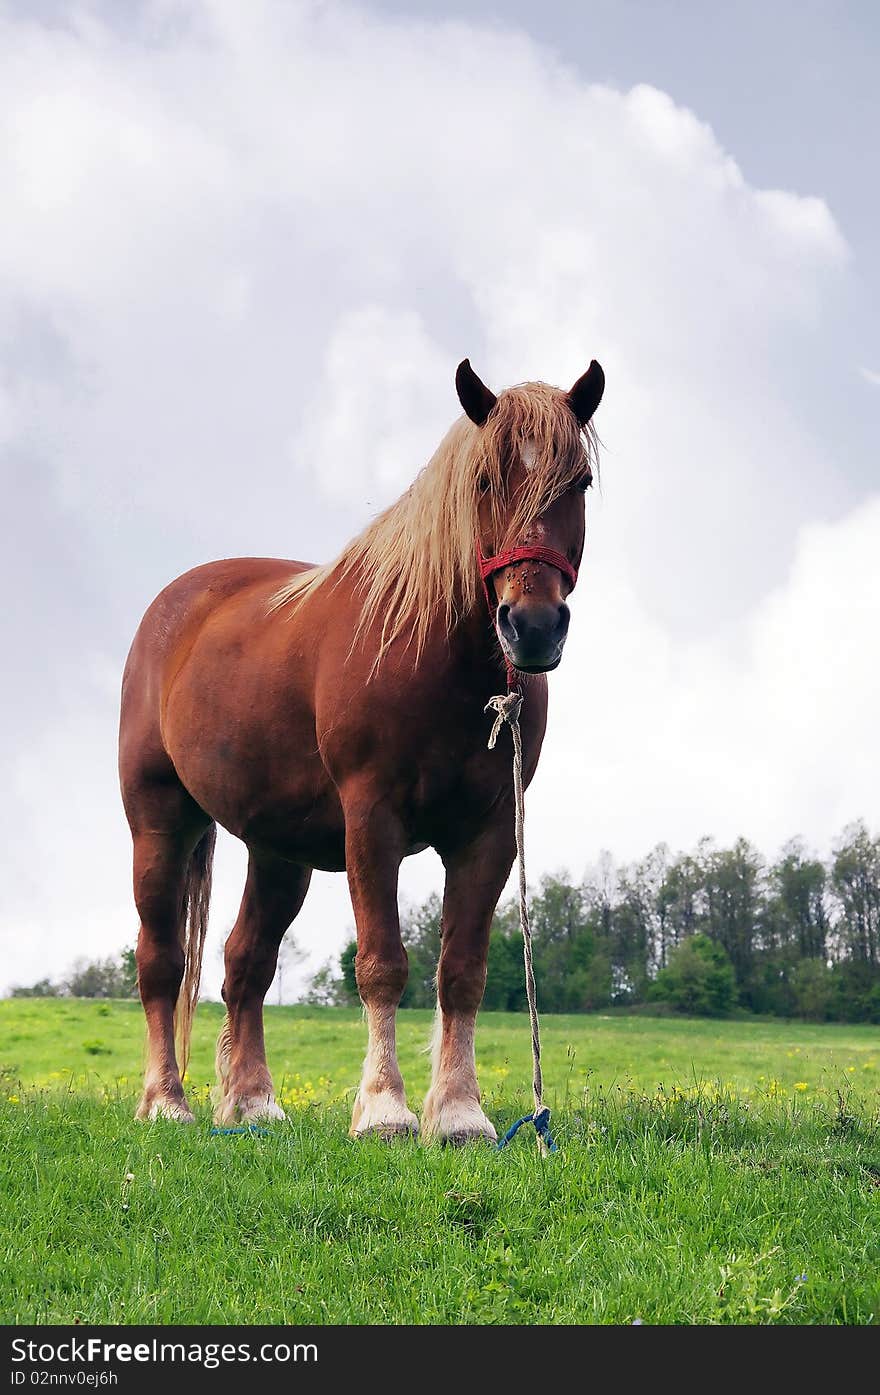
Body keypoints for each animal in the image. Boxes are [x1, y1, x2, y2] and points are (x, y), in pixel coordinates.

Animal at [118, 354, 605, 1138]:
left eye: (579, 482)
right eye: (483, 480)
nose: (531, 627)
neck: (436, 658)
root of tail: (174, 607)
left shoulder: (491, 832)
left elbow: (462, 969)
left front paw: (459, 1112)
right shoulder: (372, 821)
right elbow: (382, 963)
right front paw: (384, 1108)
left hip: (278, 851)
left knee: (244, 963)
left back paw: (252, 1102)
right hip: (159, 823)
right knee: (161, 960)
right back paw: (167, 1100)